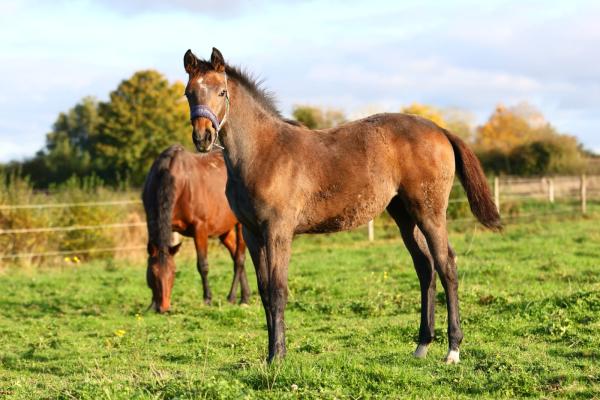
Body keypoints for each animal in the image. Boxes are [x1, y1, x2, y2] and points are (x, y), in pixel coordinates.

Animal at [143, 145, 251, 314]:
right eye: (153, 273)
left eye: (173, 273)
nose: (164, 308)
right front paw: (152, 304)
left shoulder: (200, 228)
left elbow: (203, 265)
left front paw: (207, 299)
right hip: (224, 230)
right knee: (235, 255)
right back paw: (245, 294)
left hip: (241, 224)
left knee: (239, 259)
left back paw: (235, 297)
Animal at [180, 48, 500, 364]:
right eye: (188, 93)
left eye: (222, 92)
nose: (203, 137)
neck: (262, 152)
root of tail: (439, 129)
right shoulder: (252, 233)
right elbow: (264, 293)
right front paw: (271, 353)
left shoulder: (277, 232)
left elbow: (278, 290)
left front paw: (278, 356)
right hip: (404, 214)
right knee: (425, 268)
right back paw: (422, 345)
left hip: (429, 212)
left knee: (447, 265)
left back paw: (453, 350)